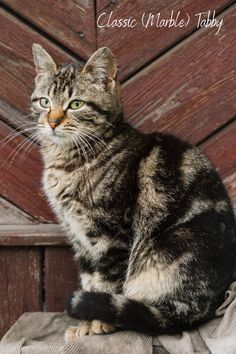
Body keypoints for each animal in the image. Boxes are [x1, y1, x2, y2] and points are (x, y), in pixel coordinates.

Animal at [31, 43, 236, 340]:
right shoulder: (79, 237)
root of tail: (208, 305)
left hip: (171, 248)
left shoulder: (112, 236)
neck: (69, 160)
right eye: (45, 102)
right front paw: (84, 325)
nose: (53, 122)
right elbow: (90, 280)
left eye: (76, 104)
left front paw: (99, 323)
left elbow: (106, 283)